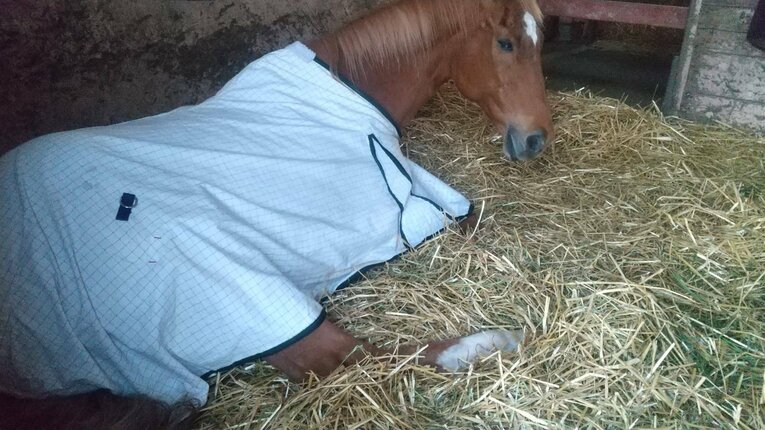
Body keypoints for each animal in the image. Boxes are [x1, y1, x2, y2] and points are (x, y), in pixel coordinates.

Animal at [0, 0, 553, 428]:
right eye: (506, 43)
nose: (537, 139)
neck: (351, 84)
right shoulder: (410, 194)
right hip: (244, 295)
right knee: (356, 356)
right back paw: (491, 341)